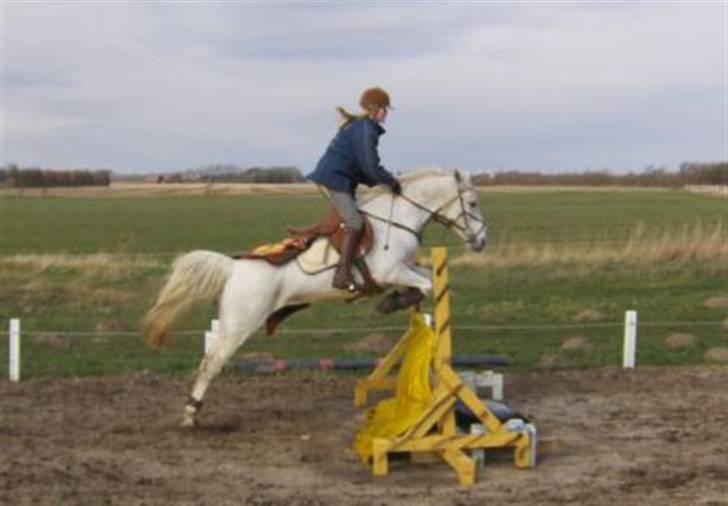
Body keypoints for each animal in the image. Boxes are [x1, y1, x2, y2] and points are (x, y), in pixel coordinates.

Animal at [141, 169, 490, 426]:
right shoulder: (391, 270)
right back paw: (190, 414)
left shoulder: (404, 268)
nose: (481, 241)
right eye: (472, 203)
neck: (398, 218)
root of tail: (233, 267)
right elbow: (428, 283)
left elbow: (425, 277)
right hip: (240, 324)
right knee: (211, 362)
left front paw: (396, 301)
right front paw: (396, 300)